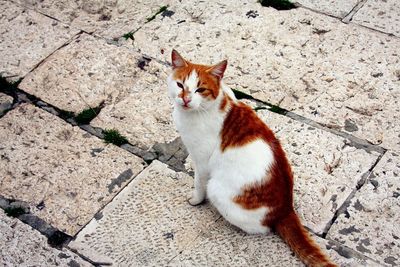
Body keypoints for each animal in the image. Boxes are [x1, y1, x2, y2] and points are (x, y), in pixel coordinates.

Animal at [167, 50, 336, 267]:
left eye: (200, 89)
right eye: (180, 85)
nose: (186, 99)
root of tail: (286, 209)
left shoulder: (202, 161)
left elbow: (198, 183)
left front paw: (195, 200)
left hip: (217, 190)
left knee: (261, 228)